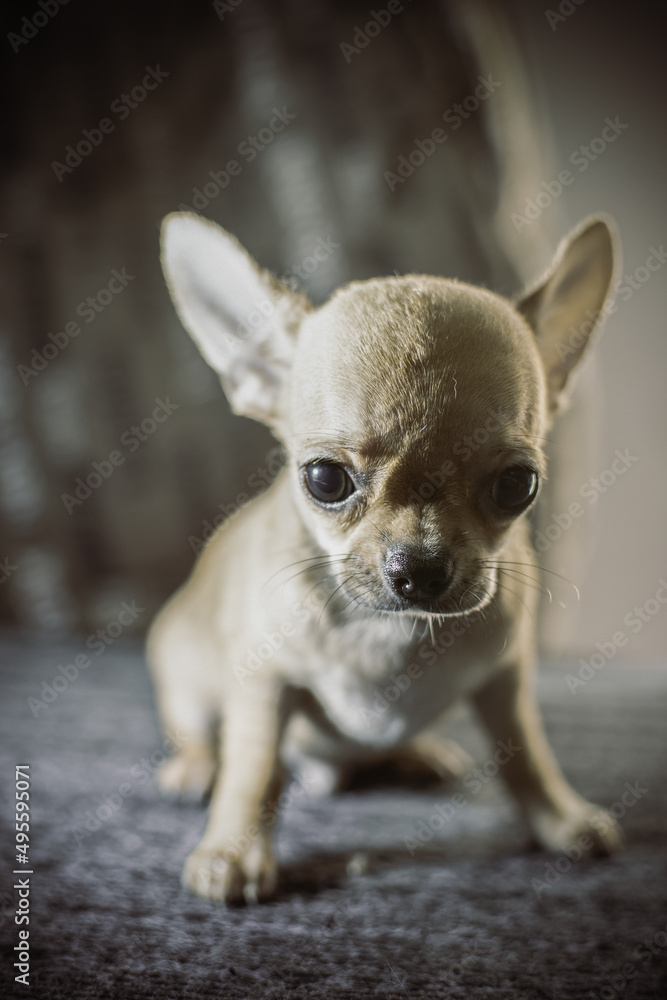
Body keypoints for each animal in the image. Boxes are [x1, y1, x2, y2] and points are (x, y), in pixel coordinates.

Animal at [149, 207, 624, 904]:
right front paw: (233, 850)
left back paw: (414, 754)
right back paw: (195, 768)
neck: (389, 633)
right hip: (184, 678)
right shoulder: (265, 686)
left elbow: (525, 752)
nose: (420, 567)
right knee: (211, 741)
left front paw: (560, 817)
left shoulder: (506, 679)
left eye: (519, 485)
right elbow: (255, 771)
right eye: (325, 479)